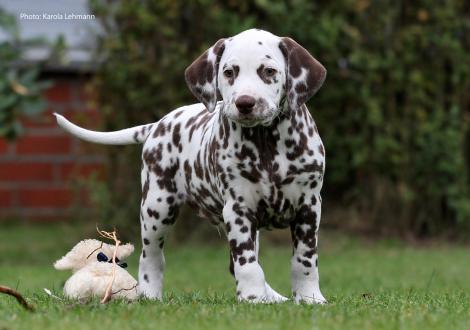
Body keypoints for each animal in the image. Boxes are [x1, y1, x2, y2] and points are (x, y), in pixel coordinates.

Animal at [55, 29, 326, 304]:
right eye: (229, 72)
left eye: (269, 71)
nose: (245, 102)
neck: (266, 143)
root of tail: (158, 124)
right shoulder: (238, 209)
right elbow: (247, 264)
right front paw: (252, 297)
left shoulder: (309, 207)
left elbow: (304, 260)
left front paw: (310, 298)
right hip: (157, 208)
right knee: (151, 257)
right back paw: (150, 295)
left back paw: (273, 297)